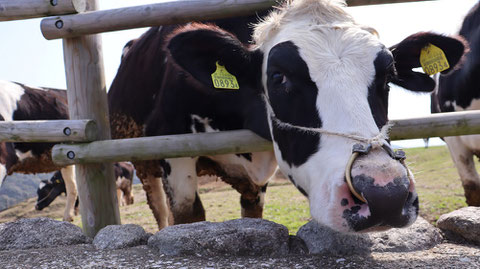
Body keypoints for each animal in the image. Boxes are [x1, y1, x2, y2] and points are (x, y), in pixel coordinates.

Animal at [109, 0, 464, 232]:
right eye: (279, 77)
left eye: (388, 77)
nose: (386, 193)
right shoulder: (172, 150)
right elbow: (186, 217)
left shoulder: (256, 186)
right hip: (142, 162)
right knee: (158, 208)